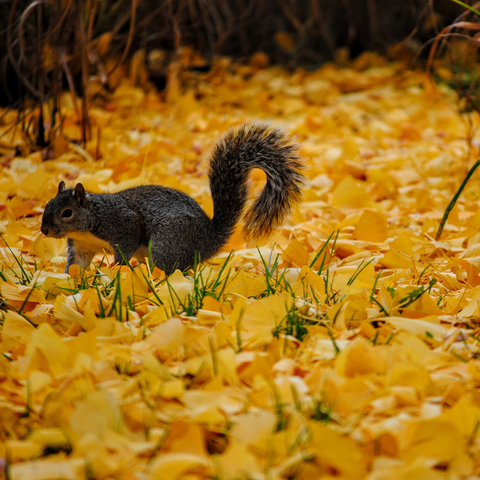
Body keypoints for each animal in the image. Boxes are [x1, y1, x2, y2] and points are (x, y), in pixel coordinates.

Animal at [40, 124, 304, 274]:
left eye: (67, 213)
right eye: (47, 206)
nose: (44, 231)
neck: (91, 220)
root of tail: (209, 239)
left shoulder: (123, 224)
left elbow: (126, 247)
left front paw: (117, 273)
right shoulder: (82, 246)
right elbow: (76, 265)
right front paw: (69, 282)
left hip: (168, 241)